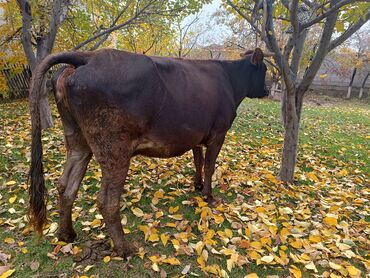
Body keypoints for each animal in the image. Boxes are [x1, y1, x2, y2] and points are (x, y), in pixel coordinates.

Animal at [28, 47, 270, 256]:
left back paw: (66, 234)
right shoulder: (218, 133)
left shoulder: (197, 135)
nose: (268, 90)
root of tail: (90, 56)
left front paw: (197, 185)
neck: (231, 81)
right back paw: (125, 249)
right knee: (106, 201)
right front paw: (208, 196)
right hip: (115, 150)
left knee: (66, 186)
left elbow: (198, 161)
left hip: (78, 141)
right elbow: (210, 166)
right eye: (265, 70)